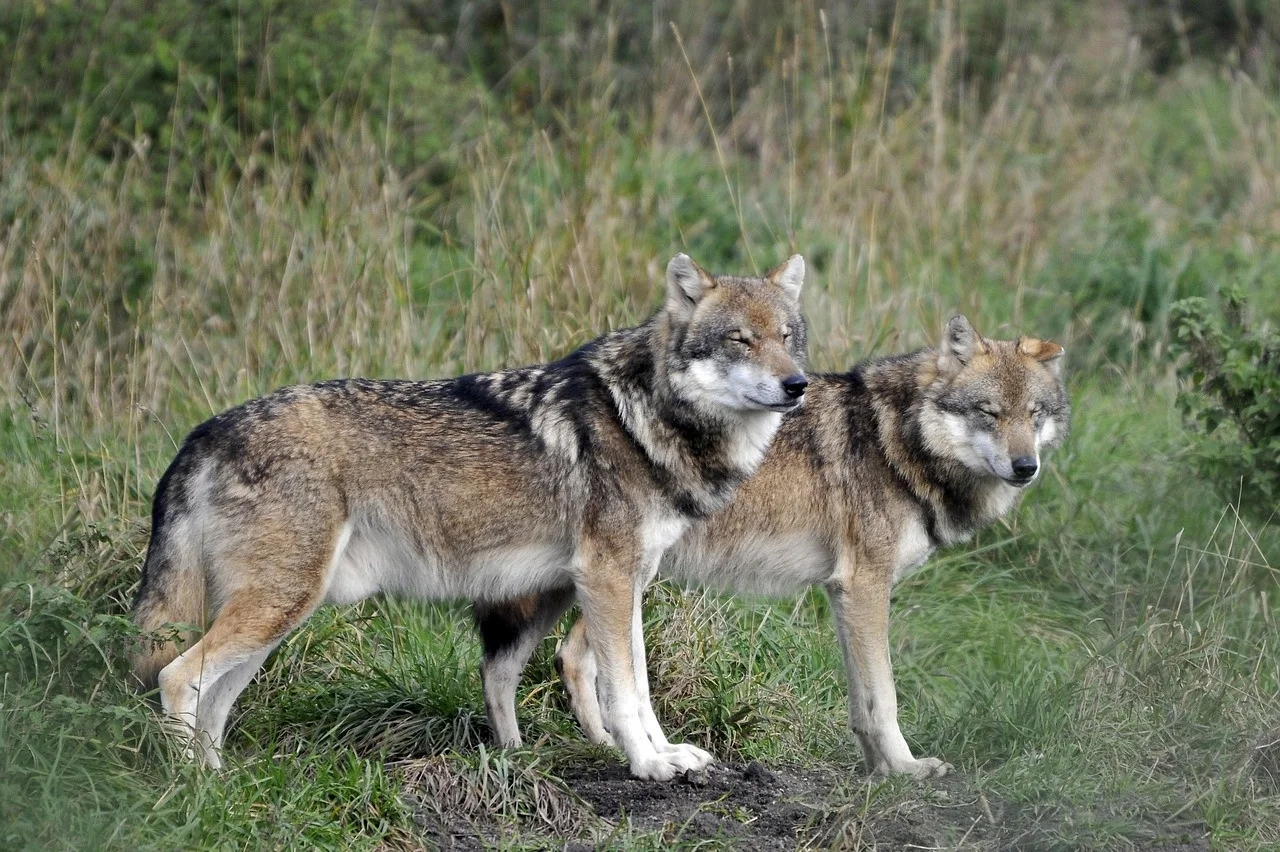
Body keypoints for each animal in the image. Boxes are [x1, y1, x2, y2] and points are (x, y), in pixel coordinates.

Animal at [130, 252, 809, 781]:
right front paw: (647, 765)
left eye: (786, 337)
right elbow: (623, 691)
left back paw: (221, 780)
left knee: (214, 699)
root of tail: (204, 432)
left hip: (278, 616)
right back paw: (194, 786)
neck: (642, 417)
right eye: (739, 340)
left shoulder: (630, 581)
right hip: (278, 605)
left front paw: (667, 754)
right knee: (177, 677)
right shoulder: (608, 579)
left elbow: (638, 687)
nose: (797, 385)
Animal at [474, 315, 1069, 777]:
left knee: (565, 657)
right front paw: (906, 769)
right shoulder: (865, 586)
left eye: (1035, 414)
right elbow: (884, 697)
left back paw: (594, 748)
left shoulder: (843, 594)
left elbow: (862, 701)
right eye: (989, 413)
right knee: (551, 660)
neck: (893, 442)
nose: (1026, 467)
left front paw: (877, 769)